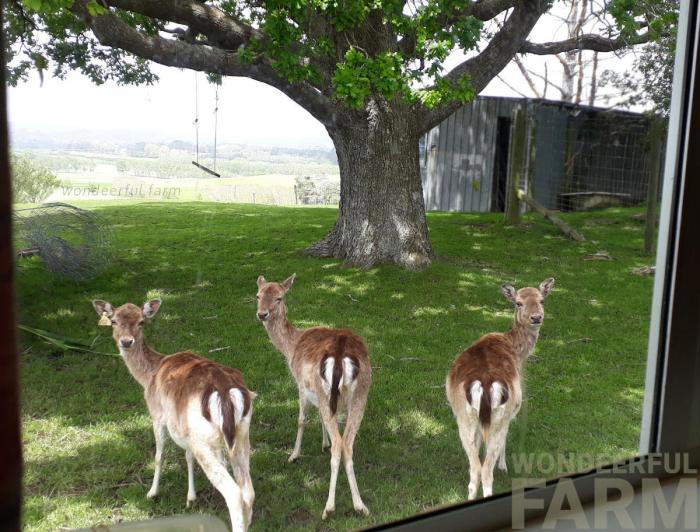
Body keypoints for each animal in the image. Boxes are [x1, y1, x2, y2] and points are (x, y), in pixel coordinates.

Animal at [91, 300, 258, 532]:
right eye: (114, 321)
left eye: (141, 321)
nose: (126, 341)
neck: (149, 375)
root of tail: (226, 393)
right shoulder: (183, 427)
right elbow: (188, 456)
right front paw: (190, 498)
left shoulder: (157, 414)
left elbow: (159, 454)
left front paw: (152, 492)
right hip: (241, 434)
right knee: (248, 491)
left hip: (202, 441)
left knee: (234, 493)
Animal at [256, 274, 372, 520]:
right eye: (258, 295)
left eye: (279, 298)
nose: (262, 314)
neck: (291, 347)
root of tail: (340, 355)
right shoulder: (324, 398)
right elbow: (322, 418)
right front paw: (323, 443)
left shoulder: (301, 384)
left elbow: (301, 419)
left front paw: (293, 455)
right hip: (361, 394)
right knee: (347, 444)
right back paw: (360, 505)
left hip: (327, 390)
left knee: (340, 444)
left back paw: (329, 508)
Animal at [446, 280, 556, 500]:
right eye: (518, 303)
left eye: (541, 300)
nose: (536, 317)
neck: (517, 351)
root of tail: (485, 383)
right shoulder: (513, 411)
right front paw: (503, 465)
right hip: (499, 416)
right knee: (486, 470)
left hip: (463, 417)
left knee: (475, 469)